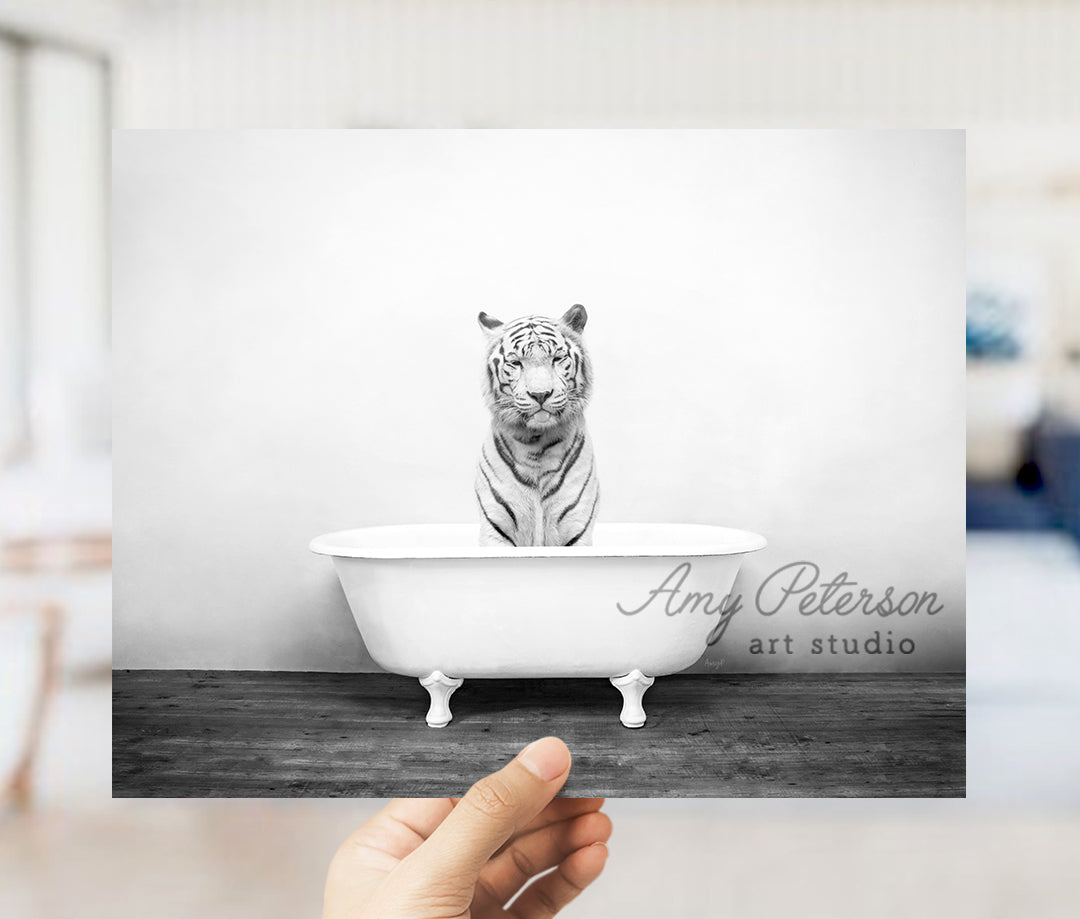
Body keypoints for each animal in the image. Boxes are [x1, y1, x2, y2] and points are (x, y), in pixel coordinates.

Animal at [473, 304, 600, 546]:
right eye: (516, 363)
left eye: (557, 358)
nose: (540, 394)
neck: (537, 443)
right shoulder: (496, 526)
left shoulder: (577, 527)